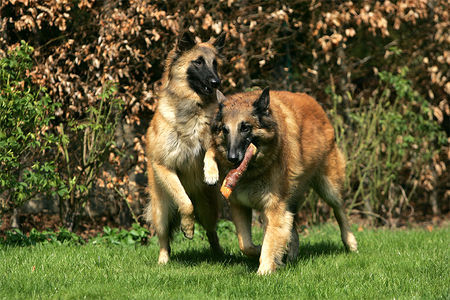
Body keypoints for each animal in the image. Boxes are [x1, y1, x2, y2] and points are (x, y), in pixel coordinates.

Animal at [145, 31, 225, 264]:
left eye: (215, 63)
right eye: (198, 62)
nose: (217, 82)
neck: (194, 108)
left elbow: (209, 151)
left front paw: (210, 172)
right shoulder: (164, 166)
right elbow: (184, 202)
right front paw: (187, 228)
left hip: (209, 209)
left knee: (211, 231)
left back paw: (219, 254)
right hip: (161, 211)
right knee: (164, 239)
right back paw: (163, 260)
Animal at [212, 87, 358, 274]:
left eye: (245, 128)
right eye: (225, 130)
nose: (232, 158)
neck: (255, 170)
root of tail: (314, 102)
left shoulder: (274, 207)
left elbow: (270, 241)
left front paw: (264, 271)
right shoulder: (240, 206)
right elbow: (245, 245)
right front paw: (263, 253)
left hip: (328, 188)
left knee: (340, 211)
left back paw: (351, 243)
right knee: (292, 229)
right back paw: (290, 256)